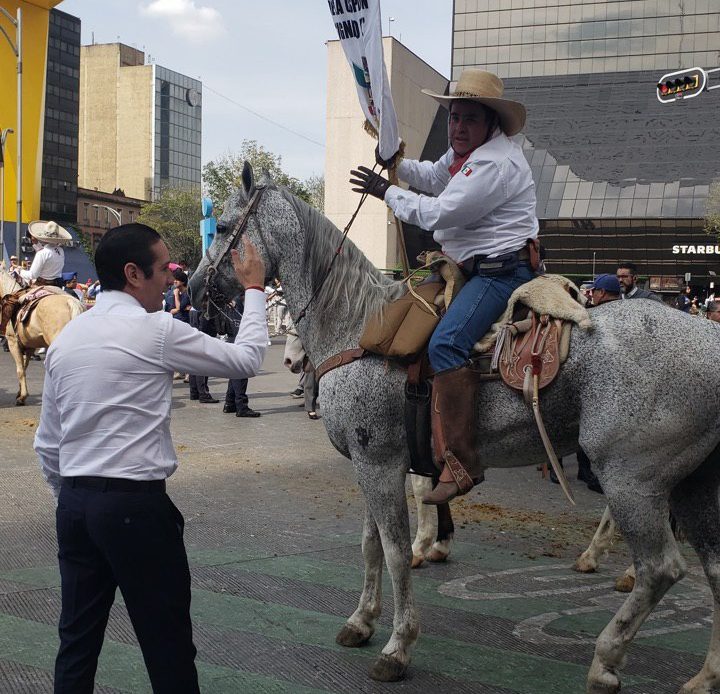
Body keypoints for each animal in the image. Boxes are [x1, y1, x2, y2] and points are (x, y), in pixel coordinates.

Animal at [1, 268, 84, 408]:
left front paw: (22, 397)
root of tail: (71, 302)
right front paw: (19, 393)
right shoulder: (29, 347)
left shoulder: (13, 342)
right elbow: (24, 367)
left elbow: (20, 369)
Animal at [190, 166, 720, 692]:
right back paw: (703, 676)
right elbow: (370, 546)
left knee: (660, 568)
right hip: (694, 484)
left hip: (632, 480)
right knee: (714, 568)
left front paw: (397, 645)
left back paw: (606, 659)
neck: (357, 326)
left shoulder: (380, 463)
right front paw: (361, 621)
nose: (195, 288)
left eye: (225, 224)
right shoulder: (373, 464)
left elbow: (395, 550)